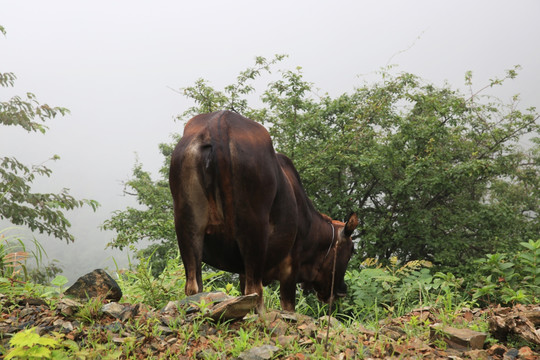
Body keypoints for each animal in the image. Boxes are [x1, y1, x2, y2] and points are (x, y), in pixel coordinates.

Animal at [170, 109, 358, 312]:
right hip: (254, 230)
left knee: (194, 286)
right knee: (254, 290)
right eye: (351, 250)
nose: (342, 290)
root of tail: (219, 123)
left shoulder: (242, 271)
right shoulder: (290, 268)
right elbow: (288, 307)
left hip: (187, 226)